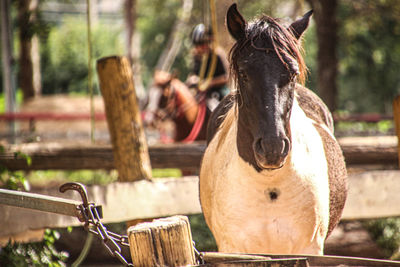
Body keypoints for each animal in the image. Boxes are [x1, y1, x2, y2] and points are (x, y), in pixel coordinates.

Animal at [200, 4, 346, 255]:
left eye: (293, 73)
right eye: (243, 73)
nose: (272, 148)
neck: (269, 186)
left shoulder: (309, 249)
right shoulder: (232, 249)